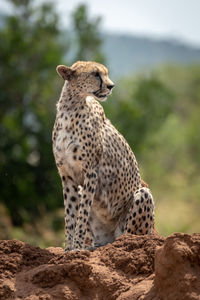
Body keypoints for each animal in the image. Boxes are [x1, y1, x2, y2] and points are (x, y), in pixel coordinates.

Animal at [52, 61, 155, 251]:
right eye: (95, 74)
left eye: (105, 73)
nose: (111, 86)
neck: (70, 107)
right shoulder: (67, 176)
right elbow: (70, 215)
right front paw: (68, 248)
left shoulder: (91, 172)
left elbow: (82, 213)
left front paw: (77, 246)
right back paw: (93, 247)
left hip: (142, 197)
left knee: (128, 236)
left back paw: (121, 243)